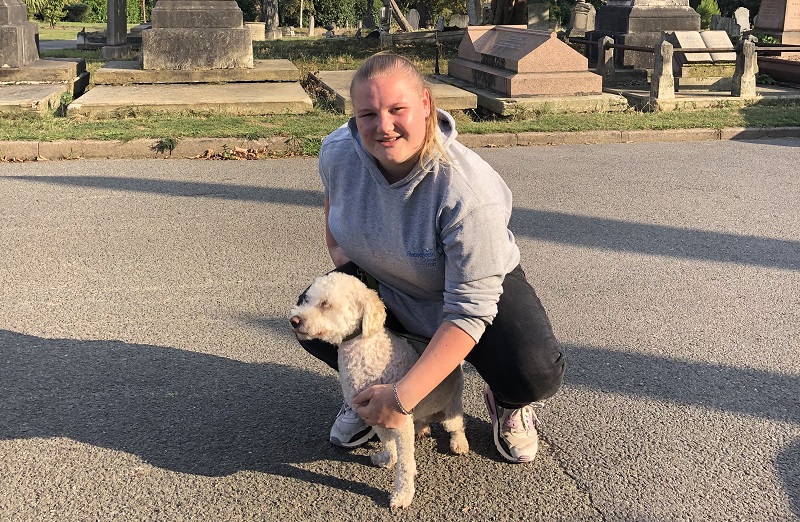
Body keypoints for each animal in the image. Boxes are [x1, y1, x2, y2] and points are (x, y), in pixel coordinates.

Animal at [292, 272, 468, 508]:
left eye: (325, 304)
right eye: (307, 300)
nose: (294, 320)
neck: (363, 349)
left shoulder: (398, 418)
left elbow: (405, 463)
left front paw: (403, 493)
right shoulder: (371, 412)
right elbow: (386, 440)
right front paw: (387, 458)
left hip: (452, 404)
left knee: (456, 425)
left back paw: (459, 442)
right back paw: (422, 428)